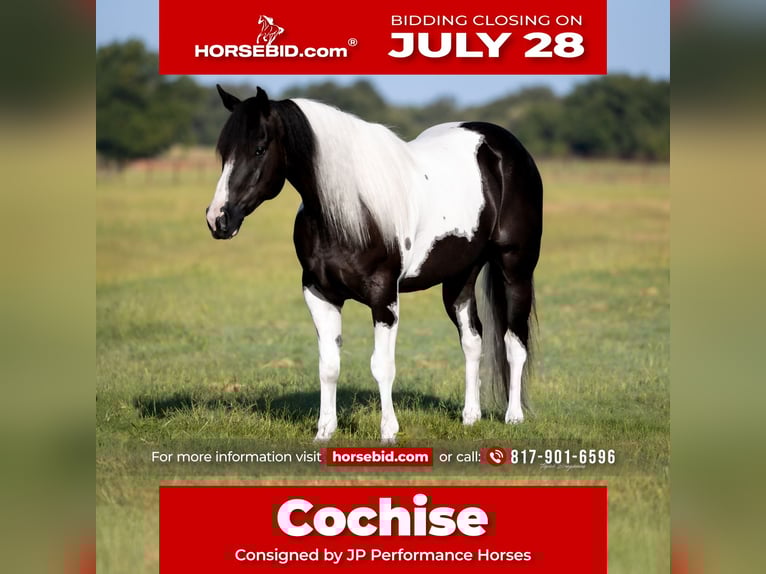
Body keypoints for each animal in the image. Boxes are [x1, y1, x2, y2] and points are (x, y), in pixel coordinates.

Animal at [206, 85, 543, 443]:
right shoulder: (319, 294)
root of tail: (503, 145)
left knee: (514, 342)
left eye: (259, 148)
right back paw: (470, 417)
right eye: (224, 152)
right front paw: (324, 431)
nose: (218, 219)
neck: (349, 210)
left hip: (516, 270)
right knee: (473, 341)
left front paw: (388, 432)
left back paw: (514, 416)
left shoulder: (384, 298)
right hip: (459, 278)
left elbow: (382, 366)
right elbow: (329, 366)